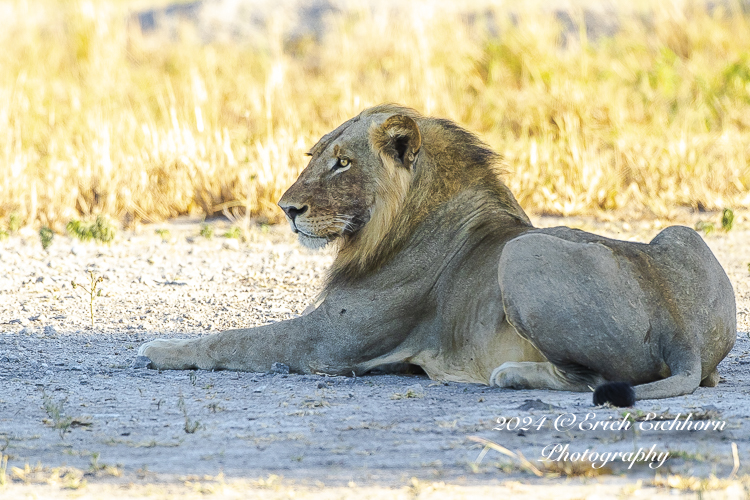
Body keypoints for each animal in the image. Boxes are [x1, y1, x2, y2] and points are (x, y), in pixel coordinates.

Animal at [138, 103, 736, 404]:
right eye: (315, 157)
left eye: (342, 163)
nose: (286, 208)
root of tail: (678, 330)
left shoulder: (328, 342)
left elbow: (232, 339)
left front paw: (158, 347)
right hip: (681, 234)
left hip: (521, 256)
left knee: (591, 381)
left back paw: (506, 376)